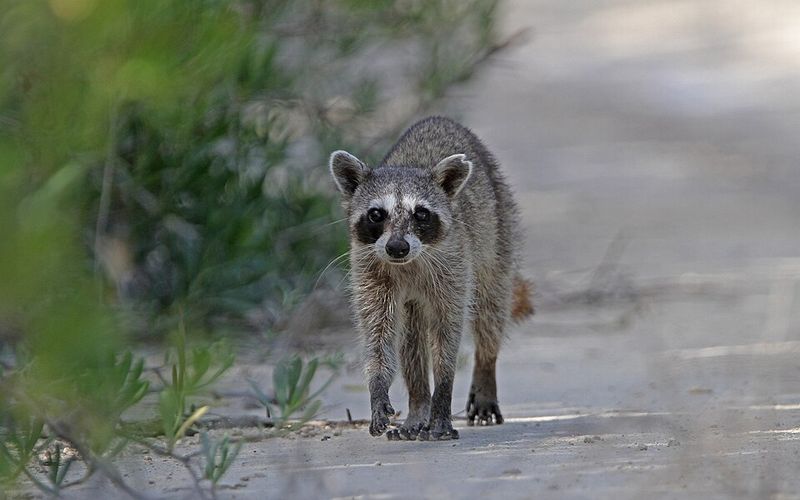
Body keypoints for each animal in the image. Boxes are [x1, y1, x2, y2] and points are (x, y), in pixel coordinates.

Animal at [329, 116, 531, 441]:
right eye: (376, 214)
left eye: (421, 213)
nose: (397, 247)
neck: (409, 262)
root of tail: (440, 119)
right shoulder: (369, 268)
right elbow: (378, 332)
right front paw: (378, 385)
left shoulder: (454, 266)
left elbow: (447, 333)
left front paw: (443, 397)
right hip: (413, 300)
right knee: (410, 339)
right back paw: (418, 403)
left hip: (500, 230)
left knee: (491, 309)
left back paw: (484, 370)